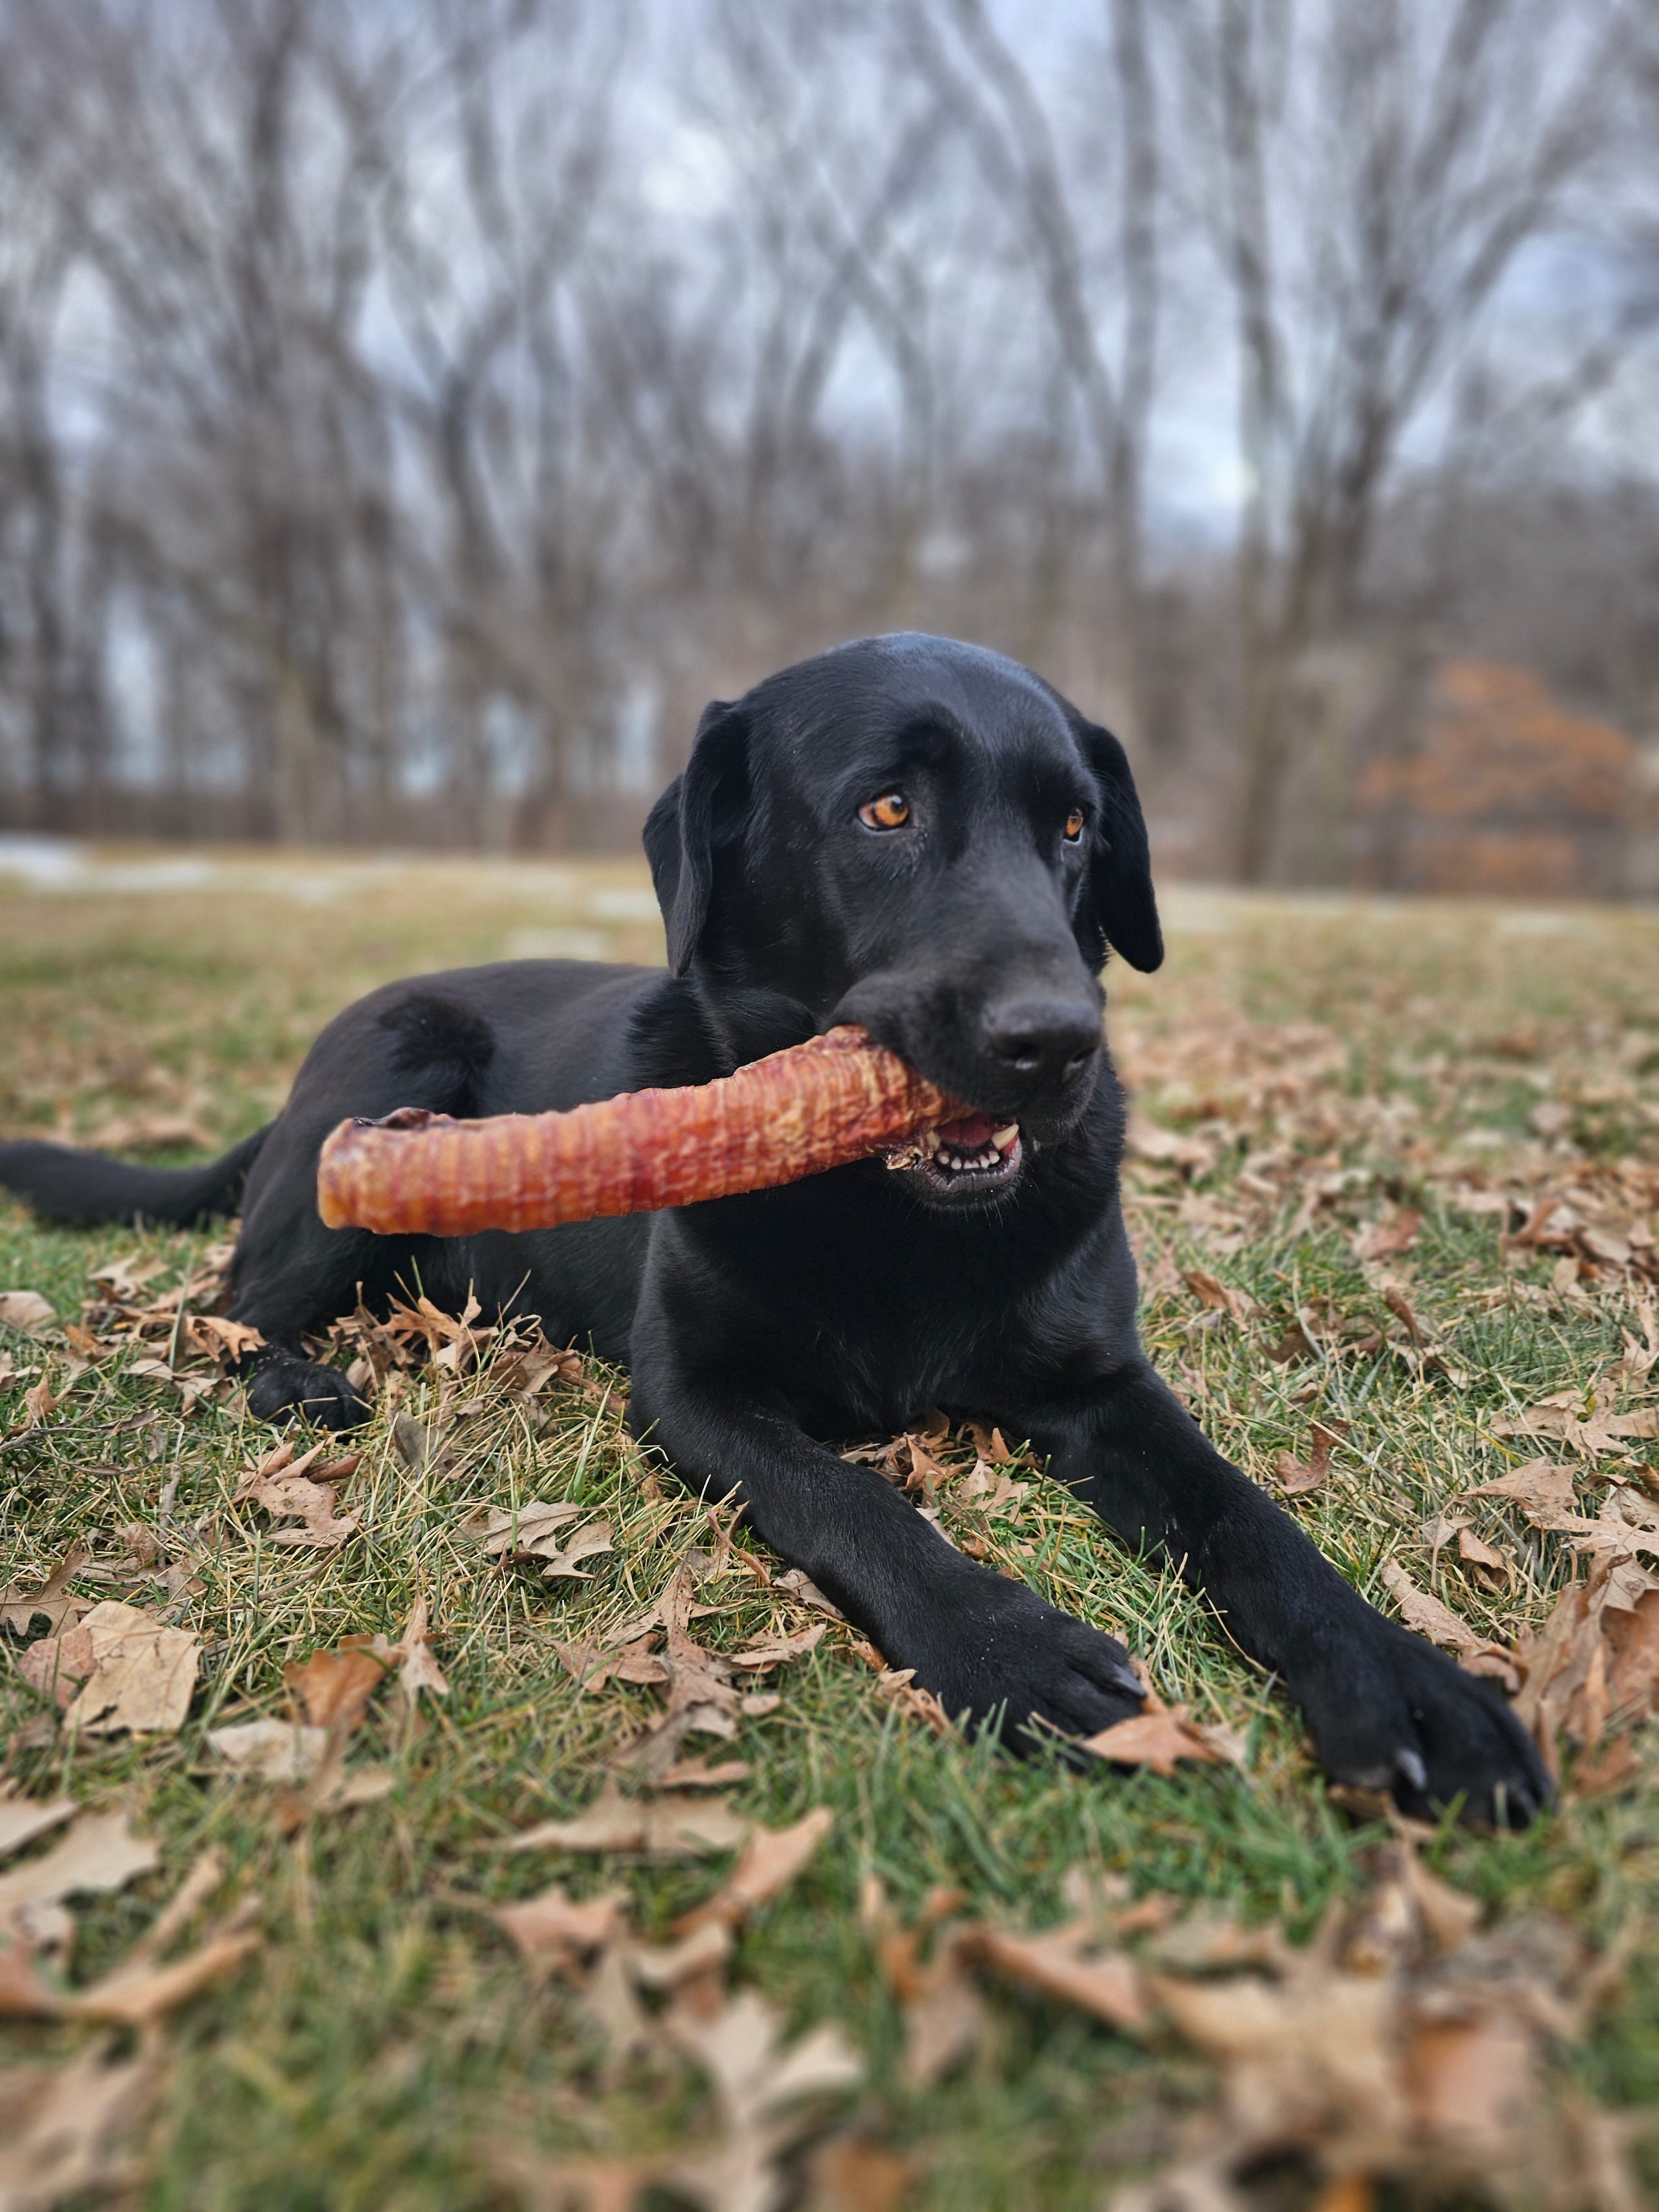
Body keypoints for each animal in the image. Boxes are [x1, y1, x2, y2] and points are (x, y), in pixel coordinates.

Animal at [6, 637, 1557, 1814]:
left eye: (1073, 827)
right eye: (886, 812)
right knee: (226, 1308)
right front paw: (1007, 1644)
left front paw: (1407, 1681)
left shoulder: (1106, 1386)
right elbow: (855, 1500)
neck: (897, 1214)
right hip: (392, 1079)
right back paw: (300, 1378)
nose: (1058, 1043)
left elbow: (1250, 1517)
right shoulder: (695, 1392)